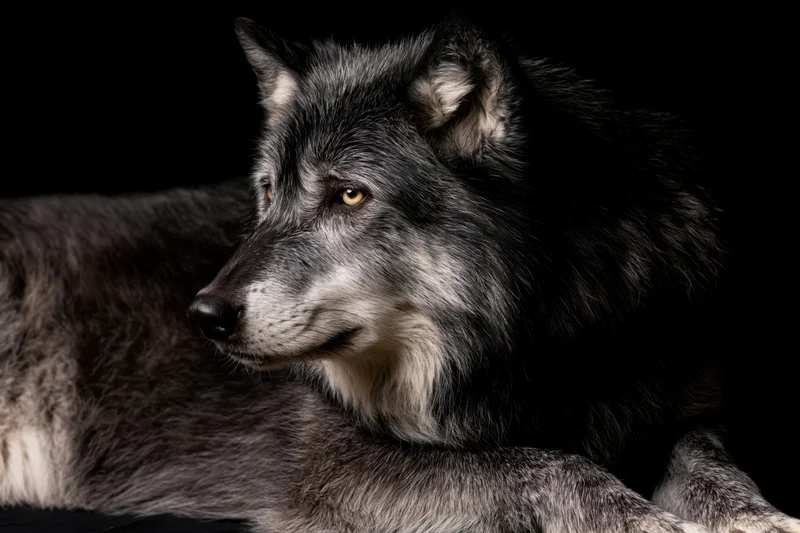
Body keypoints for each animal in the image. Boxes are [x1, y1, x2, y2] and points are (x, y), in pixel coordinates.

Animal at [1, 13, 797, 533]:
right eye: (268, 192)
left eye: (349, 195)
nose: (203, 315)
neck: (534, 342)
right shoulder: (336, 462)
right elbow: (532, 463)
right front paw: (647, 523)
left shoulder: (693, 407)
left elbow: (710, 462)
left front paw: (754, 516)